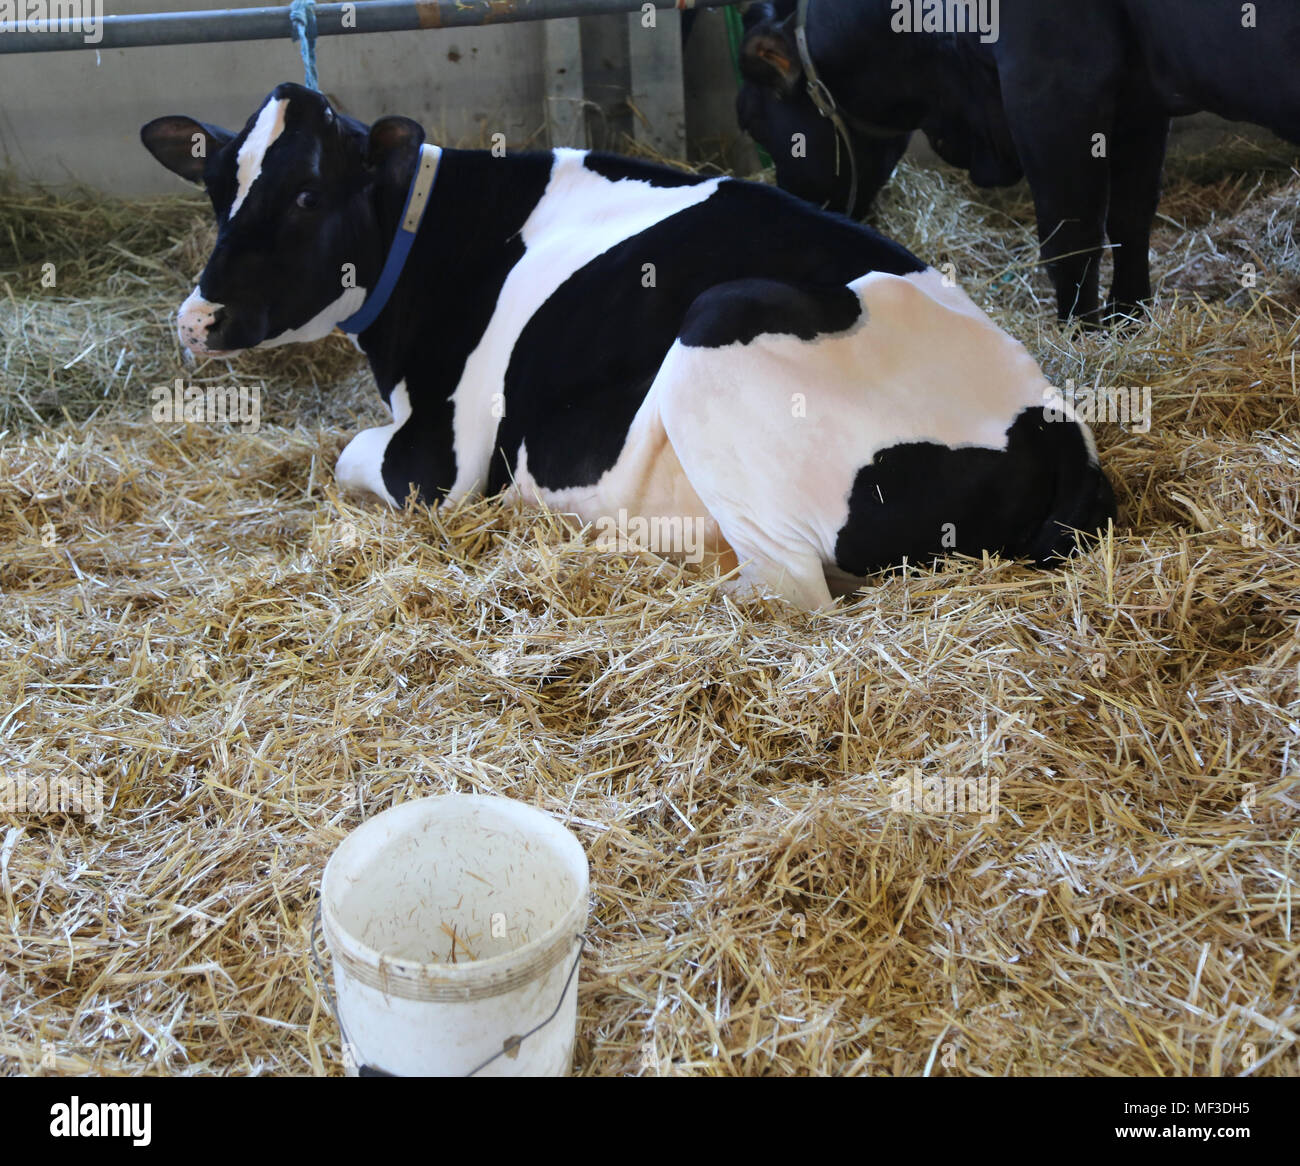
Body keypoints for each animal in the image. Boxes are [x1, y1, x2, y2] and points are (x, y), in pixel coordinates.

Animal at [140, 82, 1114, 611]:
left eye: (307, 194)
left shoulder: (439, 461)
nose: (195, 318)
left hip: (721, 324)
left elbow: (349, 454)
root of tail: (1052, 428)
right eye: (217, 187)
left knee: (790, 586)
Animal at [737, 0, 1300, 323]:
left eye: (750, 121)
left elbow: (1071, 236)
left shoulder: (1053, 85)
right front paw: (1128, 318)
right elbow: (1131, 217)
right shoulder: (1139, 100)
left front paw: (1081, 333)